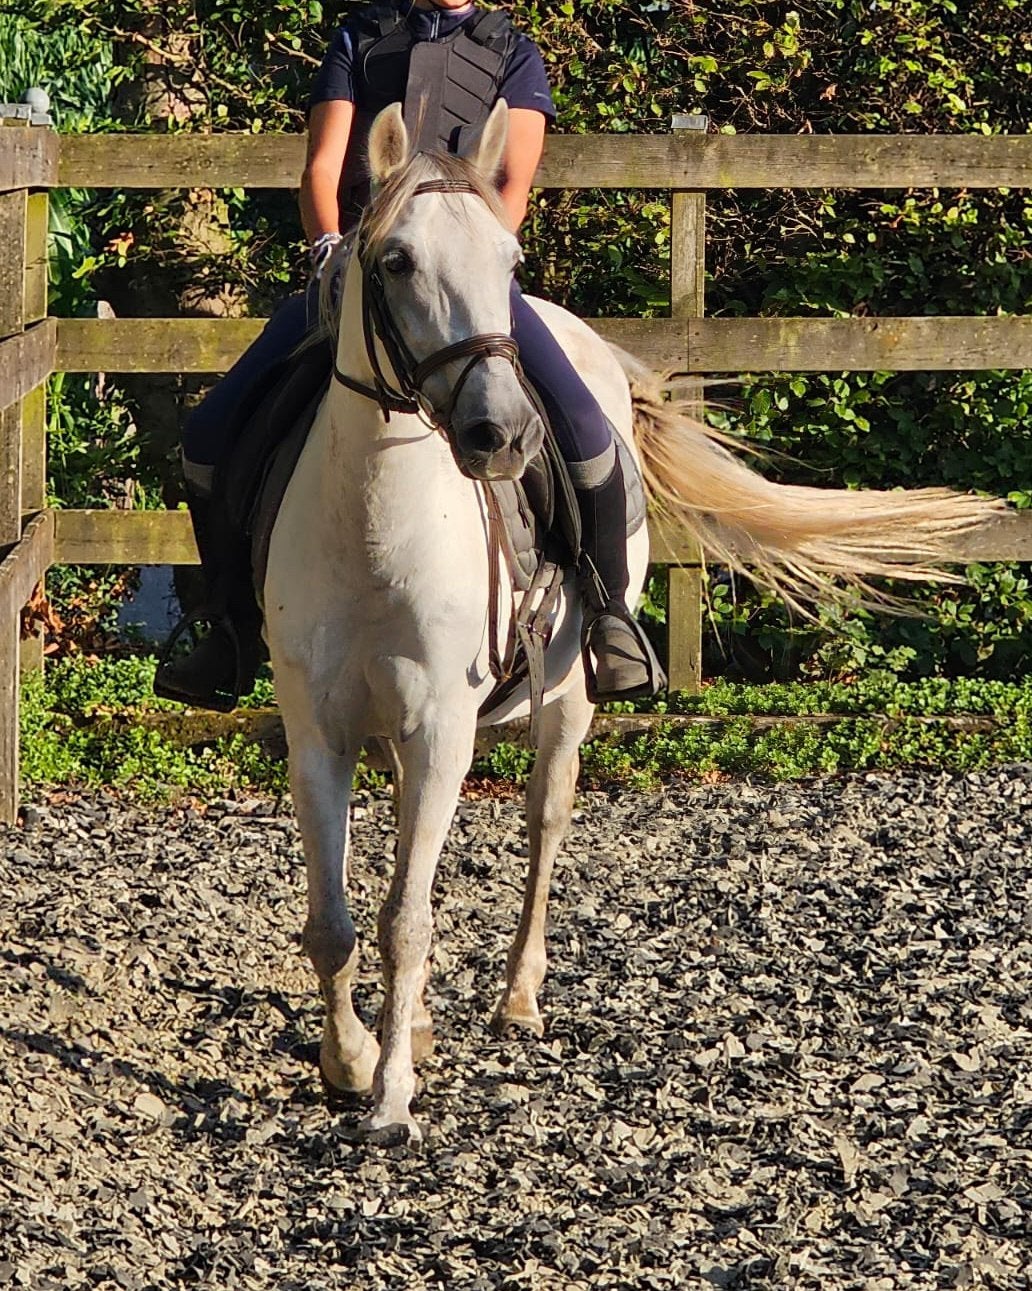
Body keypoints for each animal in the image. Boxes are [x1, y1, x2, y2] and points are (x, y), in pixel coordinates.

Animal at [263, 101, 1005, 1144]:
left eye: (509, 259)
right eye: (397, 259)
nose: (501, 434)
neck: (373, 525)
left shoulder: (442, 726)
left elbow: (405, 917)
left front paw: (393, 1097)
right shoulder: (316, 730)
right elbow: (333, 919)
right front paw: (351, 1059)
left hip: (565, 698)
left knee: (544, 822)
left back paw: (518, 997)